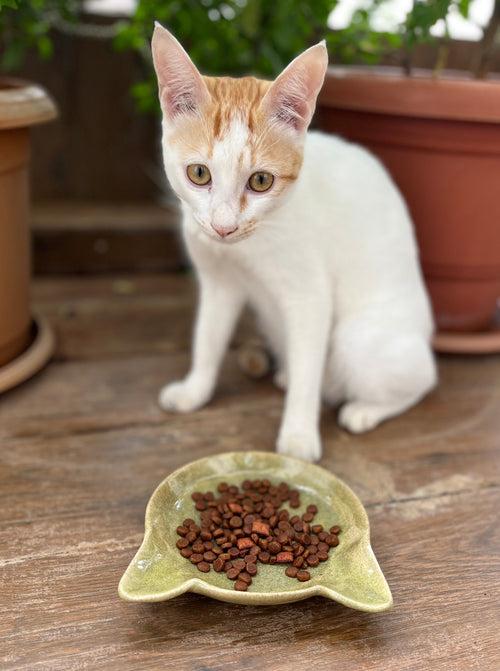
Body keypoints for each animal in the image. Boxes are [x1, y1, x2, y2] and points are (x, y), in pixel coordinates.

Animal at [150, 22, 436, 462]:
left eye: (261, 180)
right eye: (198, 173)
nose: (223, 226)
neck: (247, 246)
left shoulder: (309, 297)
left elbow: (308, 370)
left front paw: (299, 437)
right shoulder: (219, 284)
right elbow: (208, 340)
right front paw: (195, 390)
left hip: (358, 340)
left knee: (421, 381)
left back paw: (363, 410)